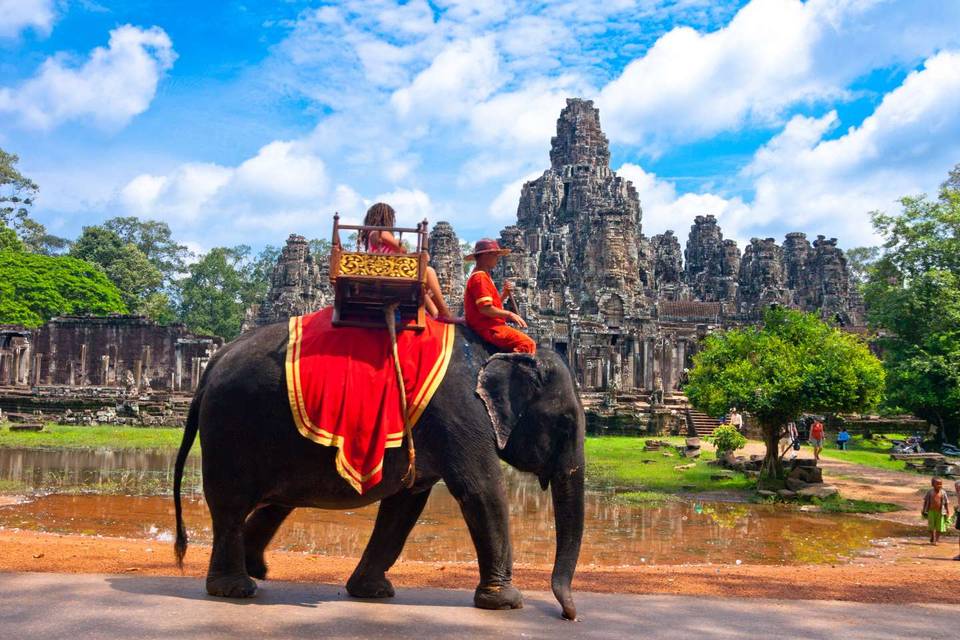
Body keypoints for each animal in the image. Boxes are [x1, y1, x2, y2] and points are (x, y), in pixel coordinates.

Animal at [174, 320, 584, 620]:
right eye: (565, 423)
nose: (569, 615)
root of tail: (214, 362)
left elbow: (406, 504)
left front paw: (372, 593)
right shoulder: (461, 412)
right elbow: (481, 489)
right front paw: (507, 602)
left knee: (275, 503)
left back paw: (256, 568)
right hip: (230, 429)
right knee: (230, 505)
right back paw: (236, 588)